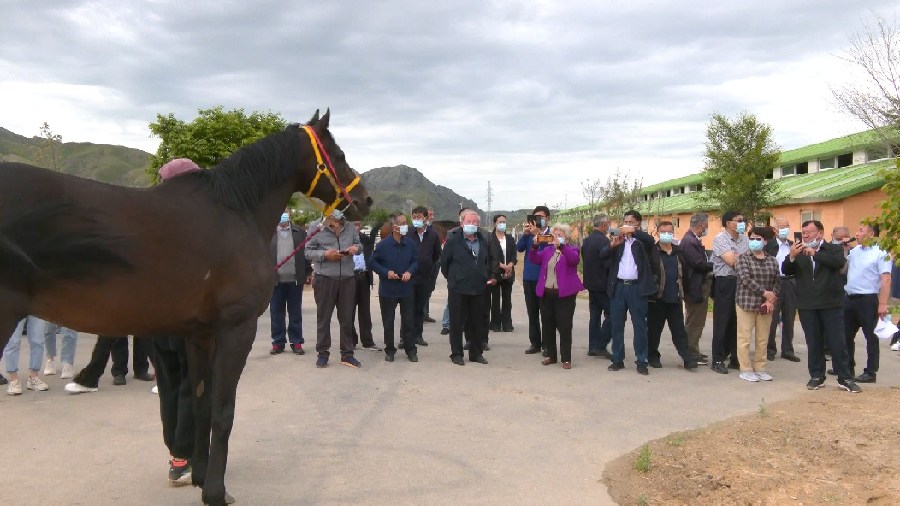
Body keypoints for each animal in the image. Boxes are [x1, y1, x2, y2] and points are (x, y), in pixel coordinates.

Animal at [0, 108, 370, 504]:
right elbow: (223, 410)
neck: (235, 211)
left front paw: (200, 476)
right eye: (339, 154)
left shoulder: (199, 334)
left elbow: (200, 403)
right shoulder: (236, 329)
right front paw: (216, 492)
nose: (365, 201)